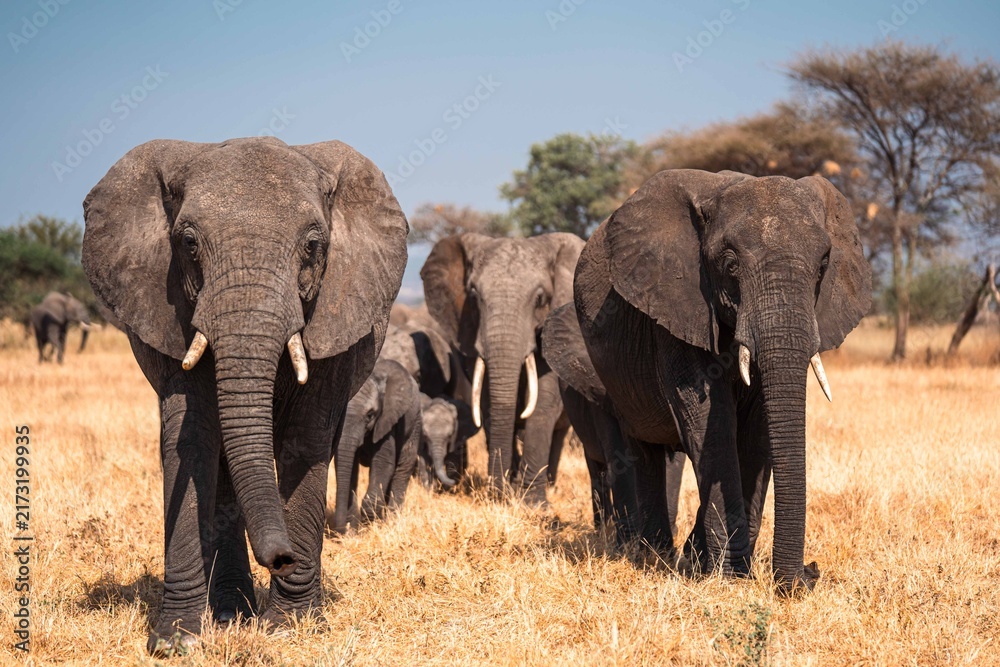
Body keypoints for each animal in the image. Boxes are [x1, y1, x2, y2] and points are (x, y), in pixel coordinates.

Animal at [81, 137, 407, 653]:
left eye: (313, 246)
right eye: (189, 243)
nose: (281, 558)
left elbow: (305, 440)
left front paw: (290, 627)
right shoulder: (172, 310)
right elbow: (190, 437)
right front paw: (176, 641)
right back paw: (232, 612)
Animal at [328, 358, 420, 534]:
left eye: (370, 415)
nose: (341, 531)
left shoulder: (387, 421)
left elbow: (384, 463)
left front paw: (371, 525)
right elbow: (349, 467)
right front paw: (354, 530)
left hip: (415, 423)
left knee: (403, 467)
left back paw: (392, 522)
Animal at [421, 232, 582, 506]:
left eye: (540, 299)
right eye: (474, 295)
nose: (497, 493)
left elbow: (543, 401)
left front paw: (533, 503)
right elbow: (487, 400)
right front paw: (505, 494)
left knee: (559, 432)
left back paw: (548, 484)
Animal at [541, 303, 686, 547]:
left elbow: (672, 460)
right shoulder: (600, 397)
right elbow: (619, 457)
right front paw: (629, 543)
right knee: (597, 470)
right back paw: (603, 528)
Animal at [574, 170, 870, 592]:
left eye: (824, 264)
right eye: (730, 265)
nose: (809, 575)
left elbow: (758, 428)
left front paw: (709, 561)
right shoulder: (679, 306)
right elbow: (708, 422)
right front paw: (729, 577)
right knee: (642, 448)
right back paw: (654, 556)